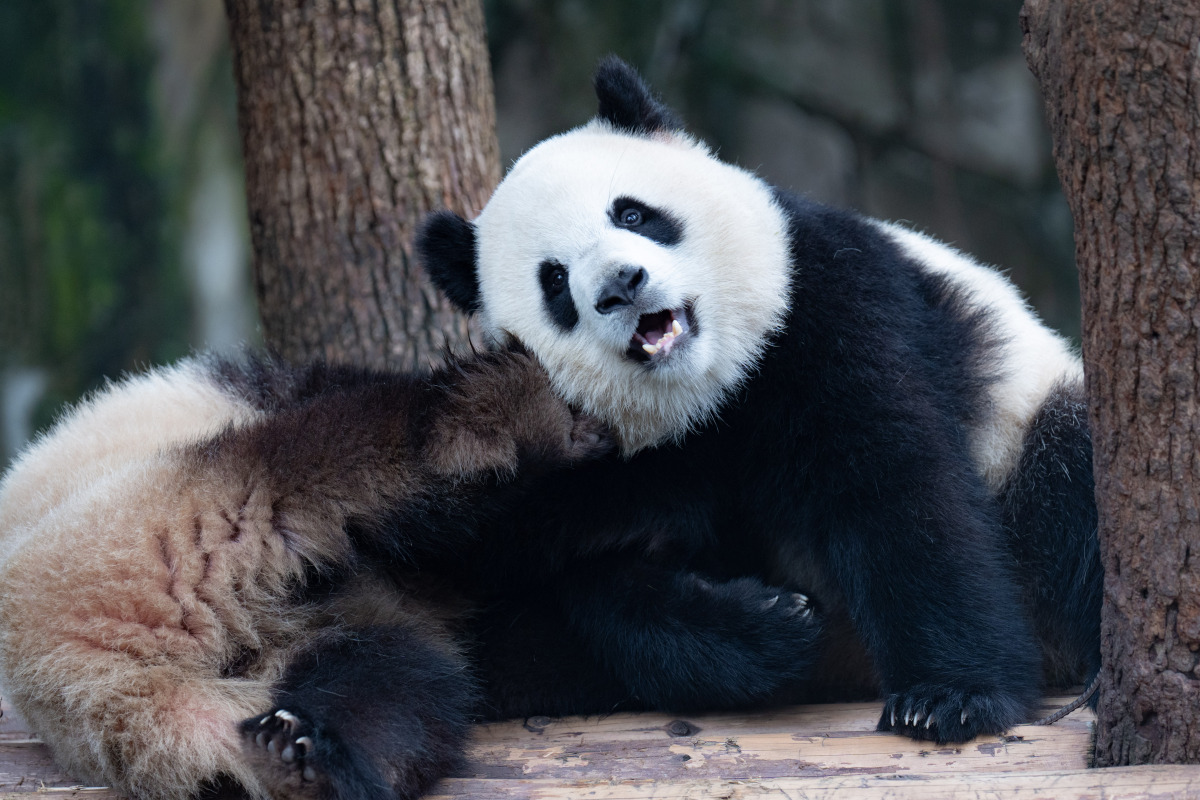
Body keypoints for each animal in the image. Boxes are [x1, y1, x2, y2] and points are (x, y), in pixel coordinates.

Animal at [0, 350, 619, 800]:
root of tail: (106, 684)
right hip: (168, 525)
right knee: (351, 454)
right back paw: (516, 414)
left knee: (393, 687)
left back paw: (302, 764)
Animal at [417, 56, 1099, 743]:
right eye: (554, 280)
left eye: (632, 215)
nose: (620, 284)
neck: (712, 397)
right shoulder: (580, 471)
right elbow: (556, 580)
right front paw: (768, 617)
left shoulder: (822, 301)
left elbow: (896, 488)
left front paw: (949, 698)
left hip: (1025, 425)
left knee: (1069, 471)